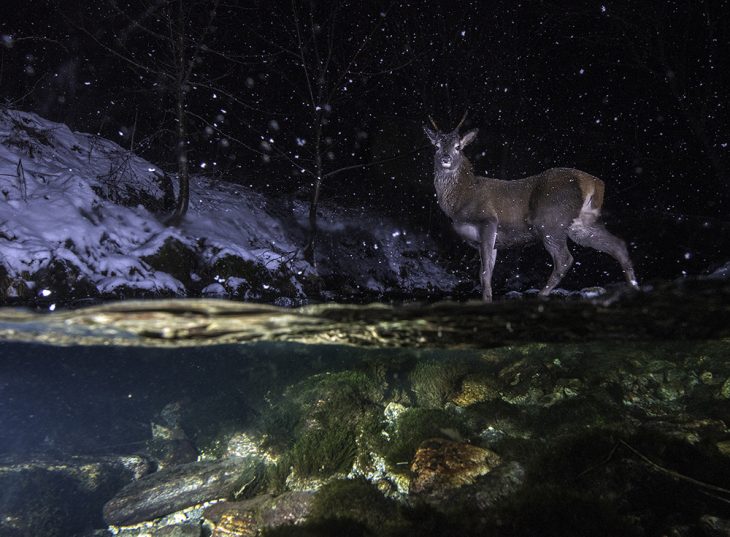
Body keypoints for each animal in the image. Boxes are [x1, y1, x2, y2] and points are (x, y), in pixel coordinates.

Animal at [424, 113, 636, 302]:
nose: (445, 158)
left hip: (550, 220)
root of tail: (592, 183)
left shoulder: (488, 220)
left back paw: (541, 294)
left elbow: (484, 274)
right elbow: (487, 272)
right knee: (618, 245)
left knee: (565, 259)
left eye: (458, 147)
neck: (462, 199)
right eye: (436, 146)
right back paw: (634, 287)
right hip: (582, 224)